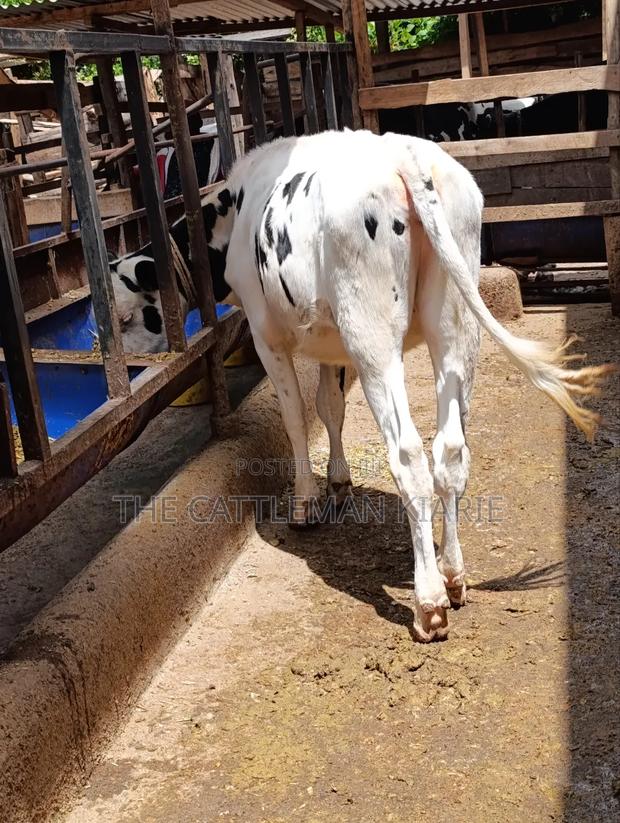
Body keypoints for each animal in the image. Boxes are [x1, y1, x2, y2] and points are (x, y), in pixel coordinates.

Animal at [109, 129, 613, 642]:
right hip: (453, 324)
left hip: (372, 333)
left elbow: (295, 417)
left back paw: (428, 601)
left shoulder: (266, 332)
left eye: (126, 314)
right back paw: (453, 576)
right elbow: (330, 406)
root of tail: (406, 155)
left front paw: (306, 502)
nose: (132, 372)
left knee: (409, 456)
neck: (233, 208)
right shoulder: (332, 343)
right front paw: (338, 482)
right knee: (451, 450)